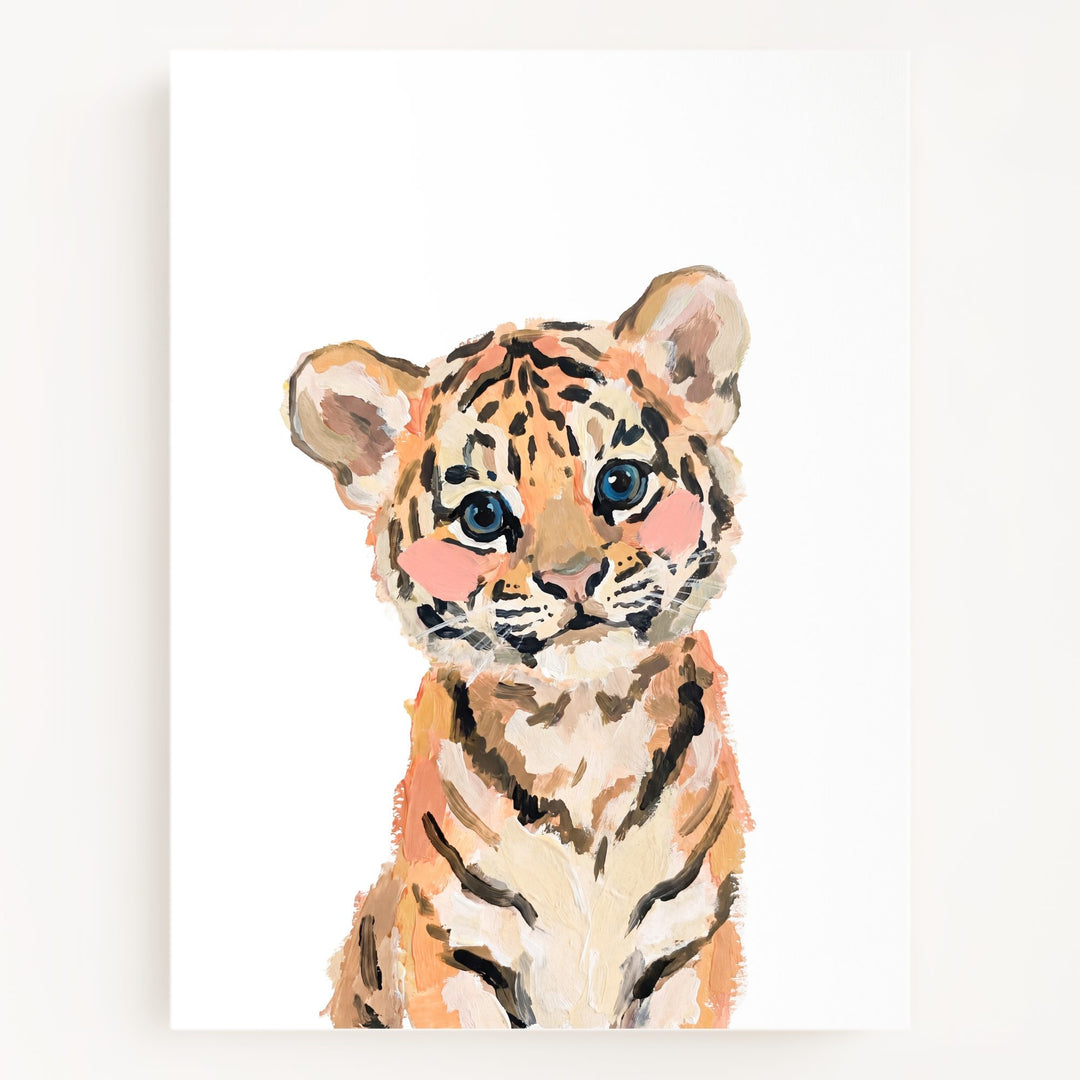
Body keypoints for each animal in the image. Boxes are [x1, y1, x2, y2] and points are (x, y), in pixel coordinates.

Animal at [285, 266, 753, 1028]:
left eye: (620, 482)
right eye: (483, 515)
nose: (573, 577)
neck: (584, 738)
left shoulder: (690, 947)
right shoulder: (452, 951)